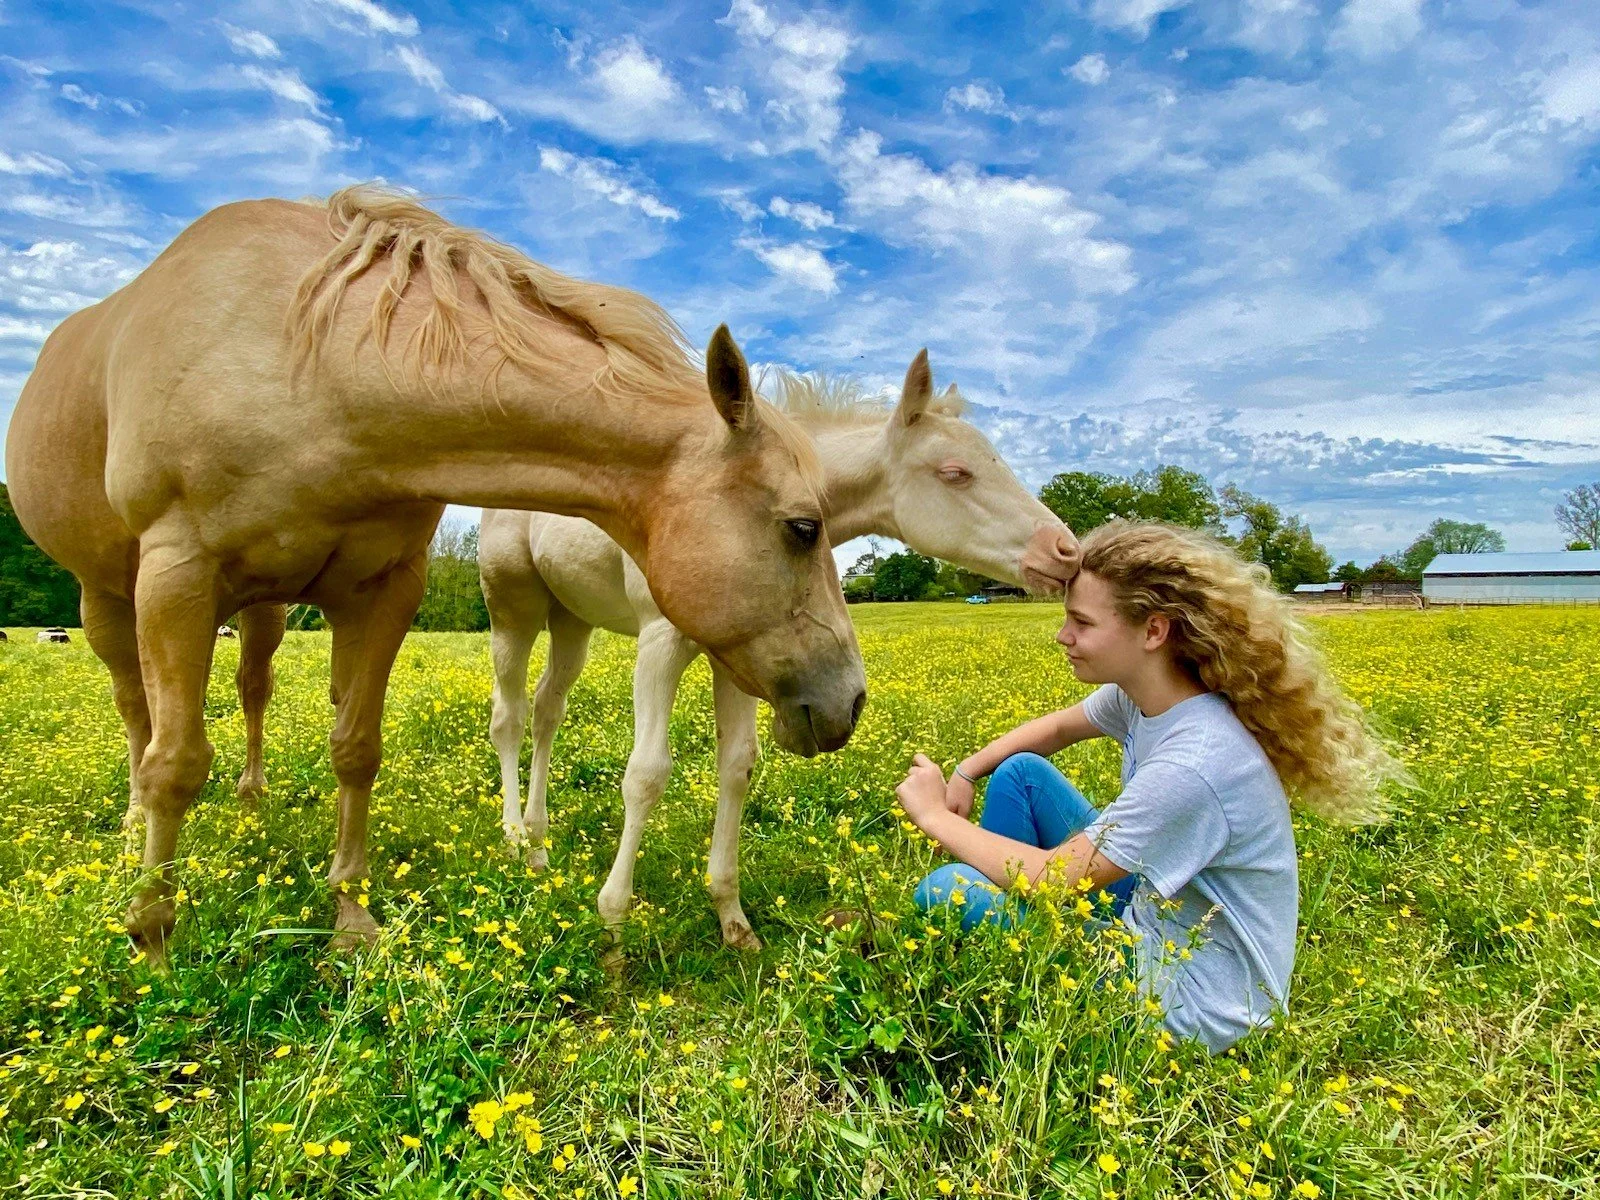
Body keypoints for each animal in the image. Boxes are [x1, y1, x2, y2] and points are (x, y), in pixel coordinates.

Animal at [4, 186, 865, 963]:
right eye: (803, 527)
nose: (850, 701)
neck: (311, 363)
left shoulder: (385, 588)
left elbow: (356, 746)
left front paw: (350, 918)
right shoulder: (179, 572)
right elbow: (176, 763)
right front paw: (152, 938)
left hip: (266, 607)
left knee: (252, 689)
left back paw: (250, 800)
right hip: (111, 596)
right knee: (137, 712)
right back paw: (131, 831)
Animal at [477, 353, 1079, 955]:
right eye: (956, 472)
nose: (1067, 551)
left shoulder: (739, 654)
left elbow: (737, 765)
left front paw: (732, 918)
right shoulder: (661, 641)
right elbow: (646, 773)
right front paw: (614, 924)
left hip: (571, 620)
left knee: (547, 710)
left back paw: (538, 843)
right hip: (514, 612)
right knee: (509, 716)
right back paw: (514, 840)